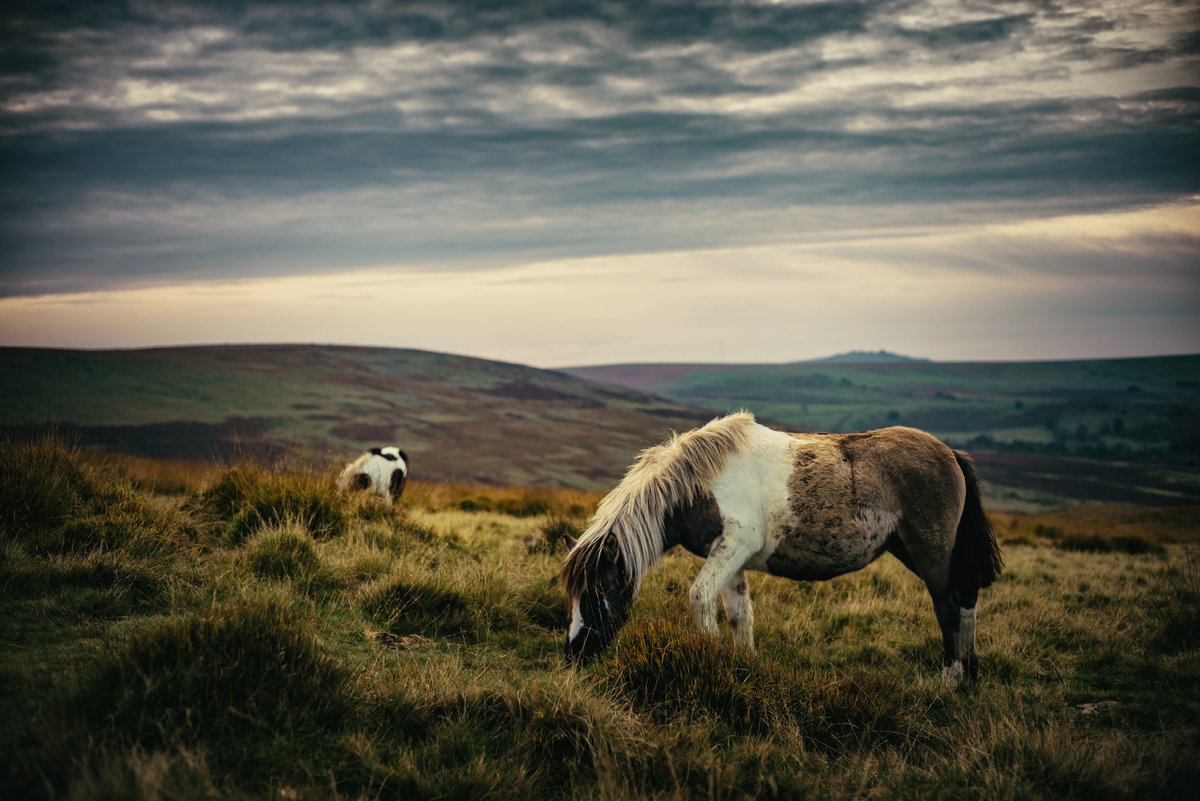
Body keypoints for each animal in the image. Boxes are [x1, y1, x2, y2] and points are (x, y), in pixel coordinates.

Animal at [559, 411, 1002, 686]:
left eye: (598, 594)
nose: (572, 655)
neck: (701, 481)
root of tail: (950, 454)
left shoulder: (732, 546)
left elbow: (700, 598)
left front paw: (707, 660)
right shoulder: (730, 558)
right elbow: (739, 614)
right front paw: (743, 666)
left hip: (932, 553)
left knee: (948, 604)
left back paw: (951, 678)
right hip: (914, 551)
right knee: (966, 598)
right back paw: (971, 673)